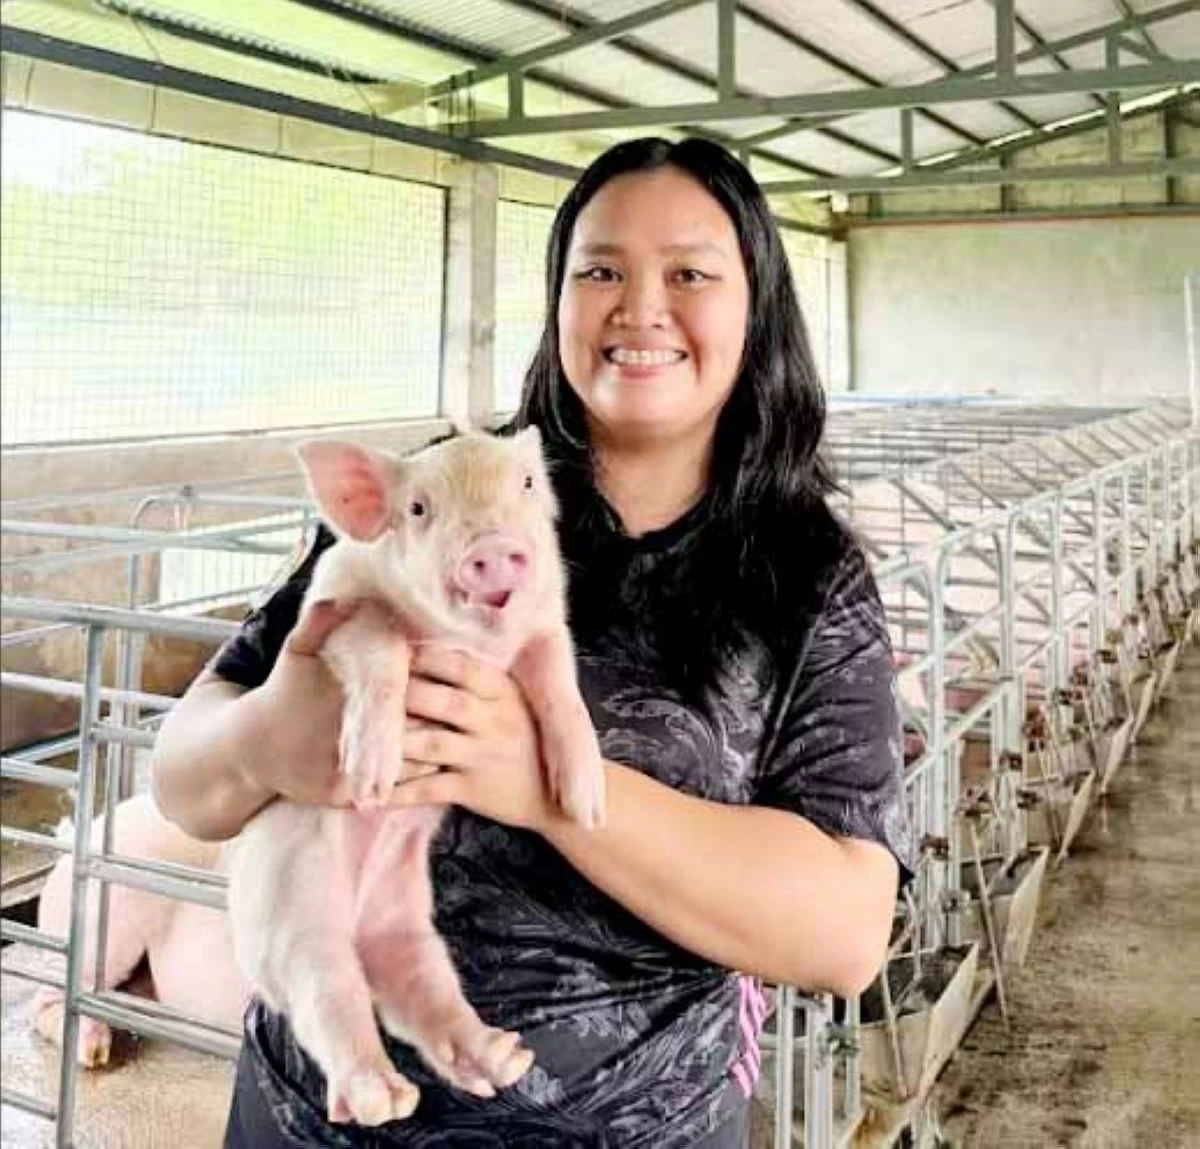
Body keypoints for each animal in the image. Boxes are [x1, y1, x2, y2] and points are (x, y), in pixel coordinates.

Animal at [226, 426, 606, 1127]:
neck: (467, 642)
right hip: (293, 914)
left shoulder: (546, 628)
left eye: (527, 484)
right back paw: (382, 1100)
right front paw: (370, 780)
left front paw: (584, 807)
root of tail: (357, 921)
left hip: (404, 920)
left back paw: (502, 1058)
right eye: (420, 509)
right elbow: (383, 642)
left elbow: (560, 685)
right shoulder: (337, 606)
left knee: (417, 990)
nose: (491, 546)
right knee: (327, 996)